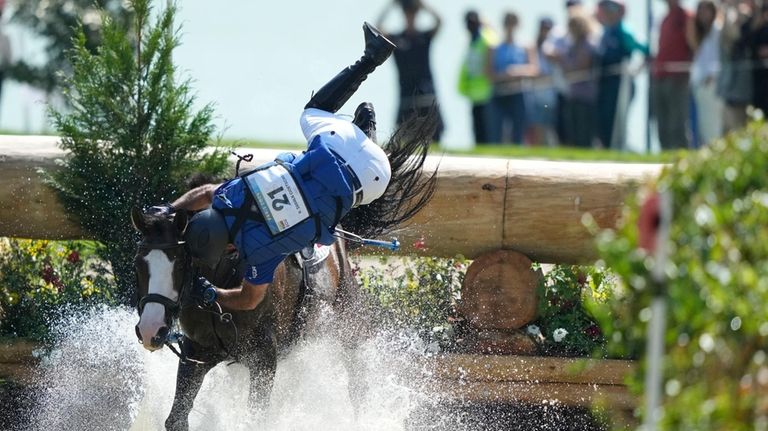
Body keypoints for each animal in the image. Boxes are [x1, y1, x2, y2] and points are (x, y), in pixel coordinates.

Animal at [129, 112, 436, 431]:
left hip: (349, 324)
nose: (151, 329)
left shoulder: (264, 360)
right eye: (138, 264)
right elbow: (176, 418)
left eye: (180, 264)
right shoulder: (195, 353)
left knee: (357, 383)